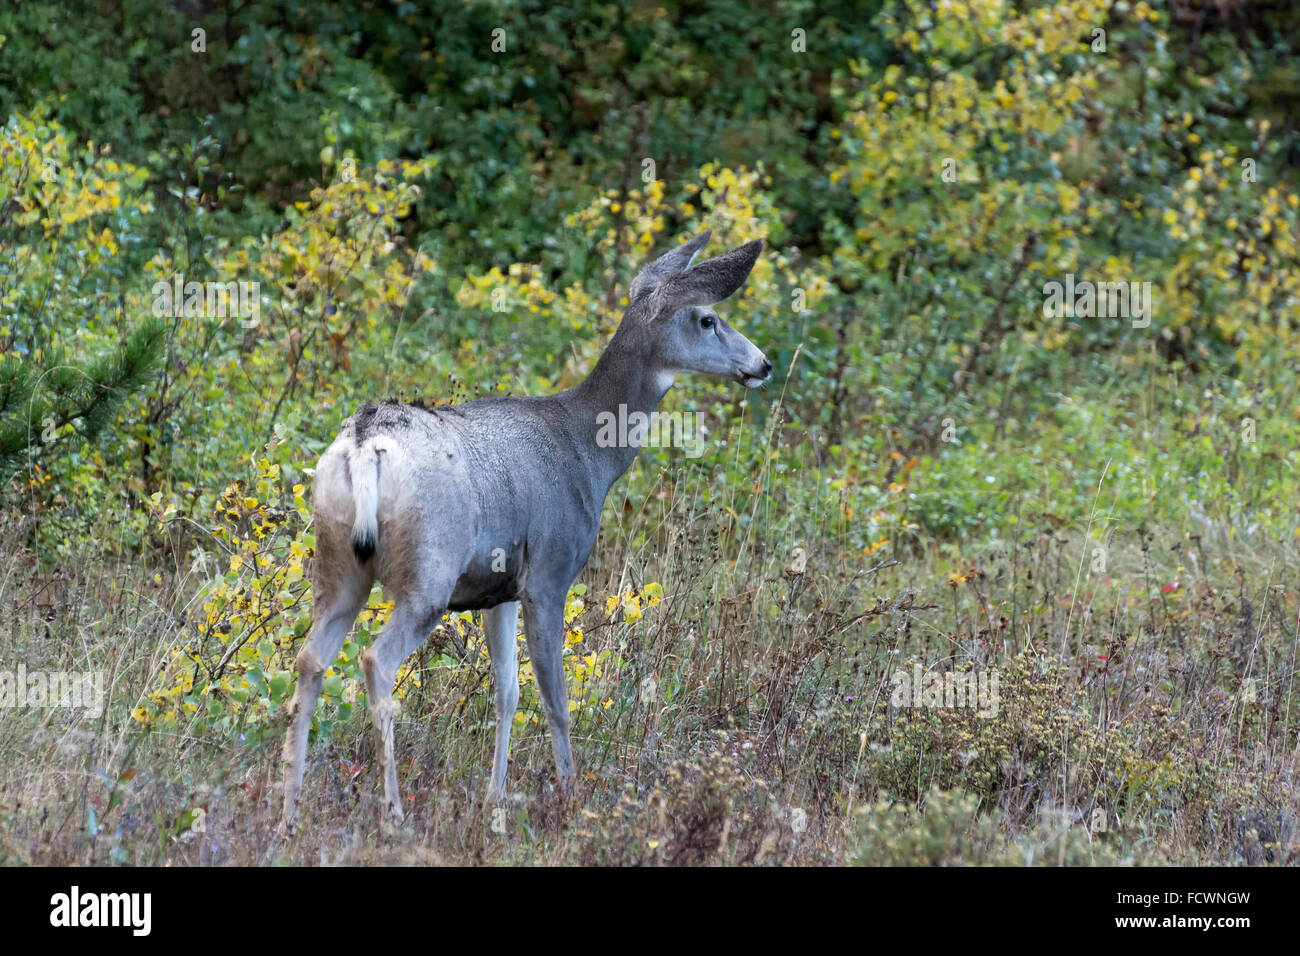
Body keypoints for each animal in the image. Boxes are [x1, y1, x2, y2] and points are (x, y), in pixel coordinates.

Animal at [278, 230, 770, 833]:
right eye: (707, 319)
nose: (763, 363)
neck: (590, 453)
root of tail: (363, 442)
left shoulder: (500, 590)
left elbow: (507, 691)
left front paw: (495, 798)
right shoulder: (550, 574)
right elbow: (556, 698)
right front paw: (571, 796)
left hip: (336, 563)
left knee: (309, 661)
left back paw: (289, 812)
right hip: (428, 573)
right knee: (376, 660)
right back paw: (392, 813)